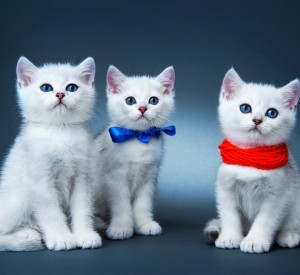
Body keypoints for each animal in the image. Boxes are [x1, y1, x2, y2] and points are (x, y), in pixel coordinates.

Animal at [0, 57, 101, 251]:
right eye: (46, 87)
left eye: (72, 88)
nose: (60, 94)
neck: (60, 133)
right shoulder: (40, 180)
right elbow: (51, 212)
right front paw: (62, 238)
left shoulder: (82, 177)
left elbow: (82, 207)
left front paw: (84, 235)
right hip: (18, 199)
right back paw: (26, 236)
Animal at [91, 66, 176, 240]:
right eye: (130, 100)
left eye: (153, 100)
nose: (142, 108)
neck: (139, 138)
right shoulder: (115, 179)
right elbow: (121, 205)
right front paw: (121, 227)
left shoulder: (149, 177)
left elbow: (143, 204)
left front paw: (144, 224)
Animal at [204, 69, 300, 254]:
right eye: (245, 108)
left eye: (272, 113)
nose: (257, 120)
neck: (252, 157)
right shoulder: (226, 188)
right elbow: (229, 216)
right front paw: (229, 237)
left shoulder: (278, 194)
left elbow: (266, 220)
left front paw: (255, 241)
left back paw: (289, 235)